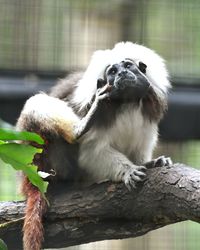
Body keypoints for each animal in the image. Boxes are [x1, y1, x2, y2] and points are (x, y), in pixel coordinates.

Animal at [16, 42, 171, 249]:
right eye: (112, 71)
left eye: (128, 66)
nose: (122, 74)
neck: (127, 103)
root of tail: (28, 177)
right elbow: (92, 155)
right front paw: (128, 170)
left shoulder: (147, 114)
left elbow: (140, 150)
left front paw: (150, 163)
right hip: (40, 154)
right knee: (37, 104)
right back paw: (79, 128)